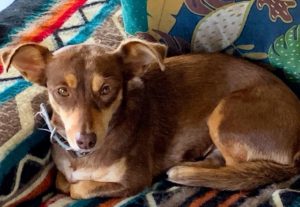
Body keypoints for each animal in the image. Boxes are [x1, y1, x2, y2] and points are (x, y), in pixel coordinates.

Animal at [0, 39, 300, 199]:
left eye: (106, 89)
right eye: (62, 91)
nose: (85, 141)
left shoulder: (134, 181)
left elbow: (78, 190)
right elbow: (63, 181)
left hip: (225, 113)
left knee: (239, 171)